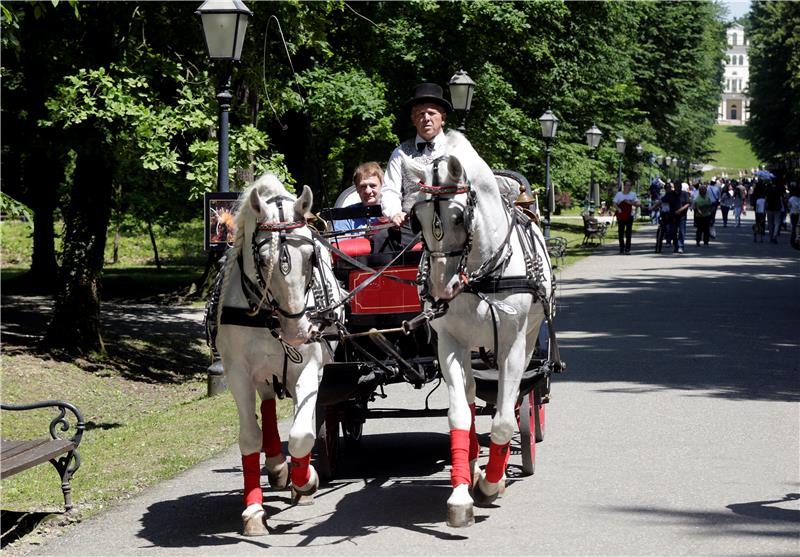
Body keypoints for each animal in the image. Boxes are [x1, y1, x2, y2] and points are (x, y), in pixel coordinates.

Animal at [211, 174, 346, 536]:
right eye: (261, 258)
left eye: (311, 257)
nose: (297, 330)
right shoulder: (238, 373)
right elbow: (249, 438)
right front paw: (254, 510)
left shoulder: (310, 367)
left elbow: (302, 435)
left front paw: (305, 480)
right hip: (264, 371)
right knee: (268, 406)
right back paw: (275, 466)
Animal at [404, 130, 552, 524]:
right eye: (417, 217)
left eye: (457, 216)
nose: (441, 288)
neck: (482, 273)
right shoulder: (450, 343)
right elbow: (459, 414)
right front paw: (460, 493)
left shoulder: (513, 346)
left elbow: (503, 420)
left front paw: (490, 484)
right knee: (470, 394)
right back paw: (470, 463)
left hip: (527, 341)